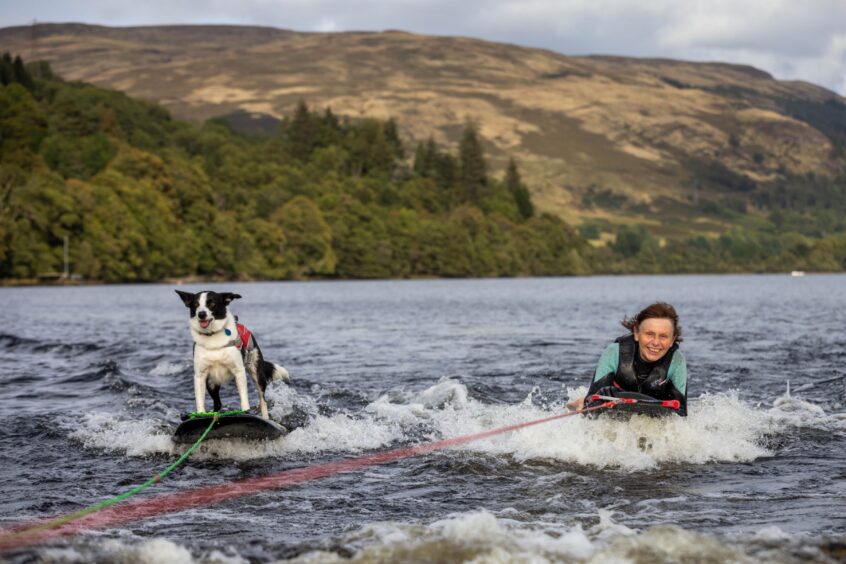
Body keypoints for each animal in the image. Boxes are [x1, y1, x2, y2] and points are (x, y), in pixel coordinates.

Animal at [174, 290, 290, 418]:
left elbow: (244, 398)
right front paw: (200, 414)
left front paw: (245, 411)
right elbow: (200, 400)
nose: (201, 314)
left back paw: (265, 417)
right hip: (211, 383)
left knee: (262, 400)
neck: (213, 336)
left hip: (257, 373)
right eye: (196, 305)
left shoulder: (239, 371)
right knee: (217, 403)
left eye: (212, 303)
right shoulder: (200, 375)